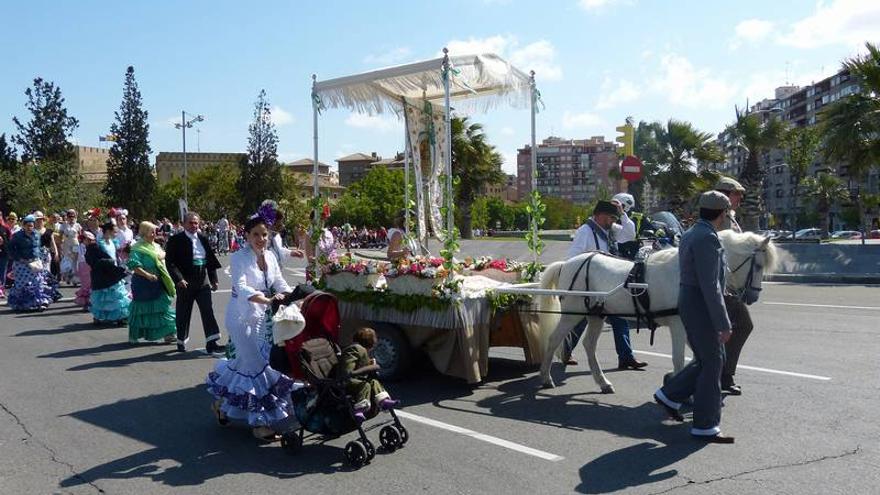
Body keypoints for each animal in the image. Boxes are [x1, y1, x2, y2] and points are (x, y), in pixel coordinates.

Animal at [536, 231, 776, 394]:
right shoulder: (678, 325)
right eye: (758, 266)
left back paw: (603, 382)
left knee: (589, 345)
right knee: (554, 339)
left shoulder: (690, 326)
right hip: (572, 314)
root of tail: (567, 263)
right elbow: (679, 359)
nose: (752, 297)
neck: (684, 274)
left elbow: (697, 357)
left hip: (596, 315)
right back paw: (546, 378)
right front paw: (675, 384)